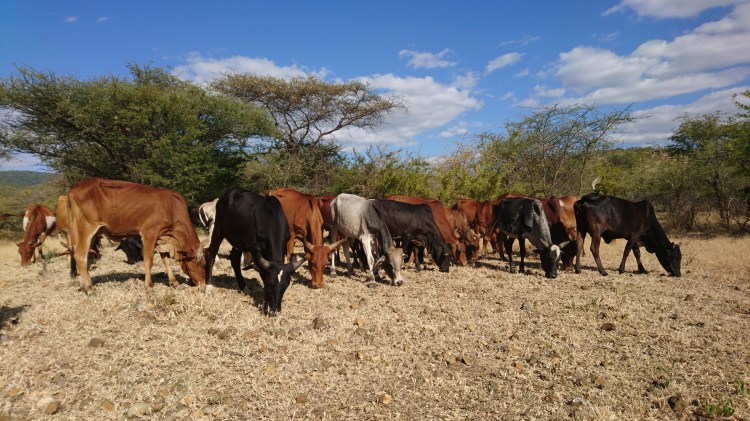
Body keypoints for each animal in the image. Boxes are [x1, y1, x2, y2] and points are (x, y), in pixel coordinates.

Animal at [67, 178, 206, 293]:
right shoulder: (149, 233)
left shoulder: (161, 238)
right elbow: (149, 261)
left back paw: (83, 285)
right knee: (80, 256)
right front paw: (149, 286)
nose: (204, 285)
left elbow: (166, 260)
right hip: (86, 229)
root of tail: (74, 189)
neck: (172, 208)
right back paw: (89, 288)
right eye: (202, 265)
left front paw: (174, 282)